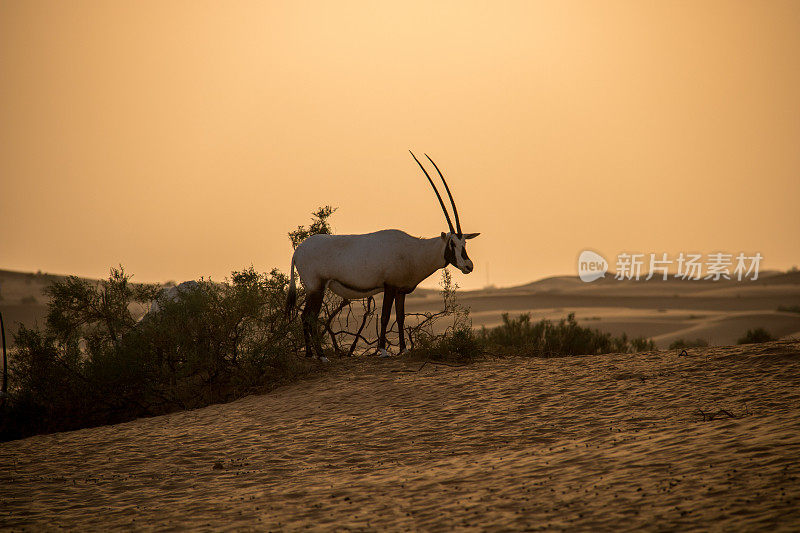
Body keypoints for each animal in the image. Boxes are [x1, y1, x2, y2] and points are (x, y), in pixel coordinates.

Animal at [284, 152, 478, 360]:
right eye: (453, 243)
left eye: (464, 243)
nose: (469, 266)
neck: (414, 250)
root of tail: (297, 251)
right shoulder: (390, 286)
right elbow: (385, 316)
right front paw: (383, 351)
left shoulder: (401, 290)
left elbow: (400, 317)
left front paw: (403, 349)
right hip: (316, 288)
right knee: (309, 316)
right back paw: (321, 355)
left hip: (313, 289)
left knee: (304, 316)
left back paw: (309, 354)